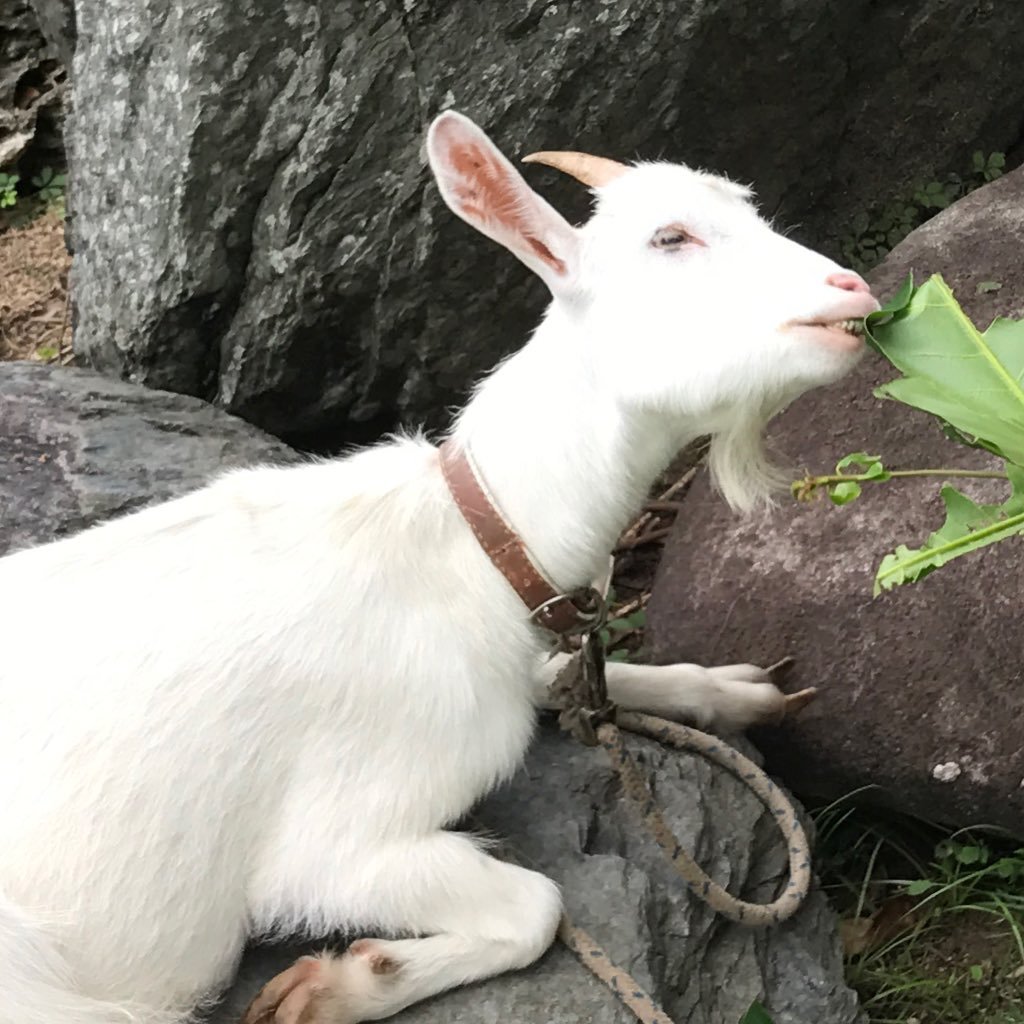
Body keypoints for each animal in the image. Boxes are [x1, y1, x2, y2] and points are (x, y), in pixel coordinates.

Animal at [0, 112, 880, 1024]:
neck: (465, 548)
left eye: (749, 207)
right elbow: (536, 905)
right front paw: (334, 987)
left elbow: (571, 677)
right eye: (670, 238)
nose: (854, 289)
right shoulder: (338, 833)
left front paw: (736, 691)